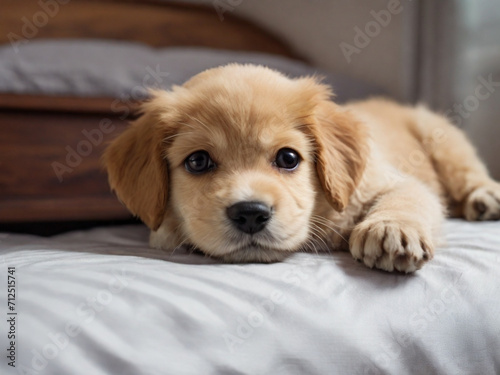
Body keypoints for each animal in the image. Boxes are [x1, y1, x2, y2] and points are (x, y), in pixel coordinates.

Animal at [102, 63, 500, 272]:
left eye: (288, 158)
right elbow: (165, 234)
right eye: (197, 161)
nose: (250, 214)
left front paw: (391, 229)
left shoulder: (393, 182)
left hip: (443, 139)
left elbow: (408, 198)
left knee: (468, 174)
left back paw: (485, 198)